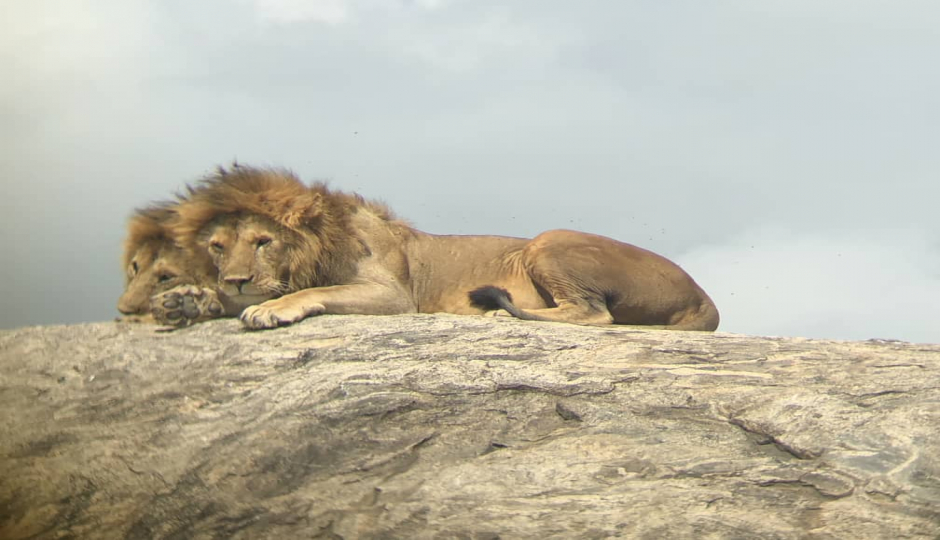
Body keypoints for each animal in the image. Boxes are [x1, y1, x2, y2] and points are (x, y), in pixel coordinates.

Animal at [151, 165, 716, 332]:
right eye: (217, 247)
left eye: (263, 242)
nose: (235, 280)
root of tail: (704, 298)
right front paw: (184, 301)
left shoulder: (394, 295)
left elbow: (310, 292)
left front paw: (270, 309)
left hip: (548, 240)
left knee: (594, 314)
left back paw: (499, 314)